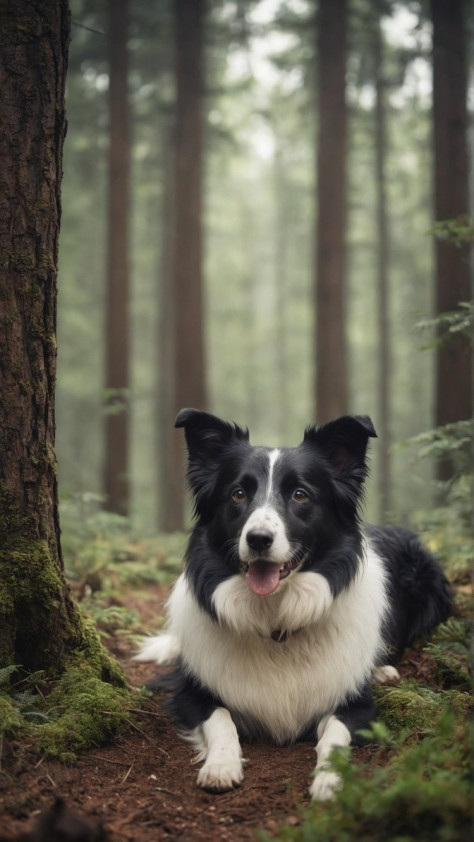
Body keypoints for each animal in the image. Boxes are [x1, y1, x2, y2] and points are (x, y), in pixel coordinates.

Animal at [137, 410, 452, 796]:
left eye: (300, 494)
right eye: (238, 494)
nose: (258, 539)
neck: (275, 619)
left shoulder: (357, 706)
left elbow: (334, 736)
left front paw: (331, 779)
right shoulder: (191, 693)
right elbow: (221, 718)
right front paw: (221, 764)